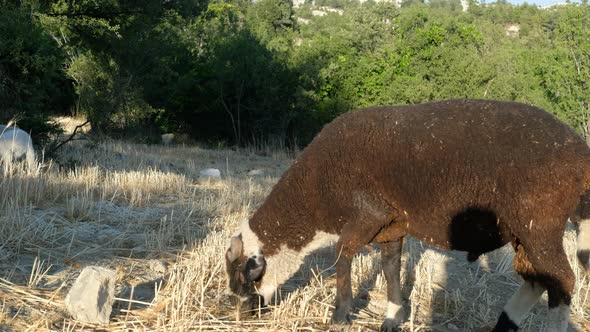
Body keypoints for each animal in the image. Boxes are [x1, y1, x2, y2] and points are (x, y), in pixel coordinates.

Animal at [224, 99, 590, 332]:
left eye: (246, 276)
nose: (243, 316)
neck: (313, 194)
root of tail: (581, 153)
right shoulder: (390, 226)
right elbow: (390, 268)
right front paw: (392, 317)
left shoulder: (369, 213)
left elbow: (343, 256)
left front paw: (340, 316)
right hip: (524, 231)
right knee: (536, 278)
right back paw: (503, 325)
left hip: (539, 224)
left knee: (562, 280)